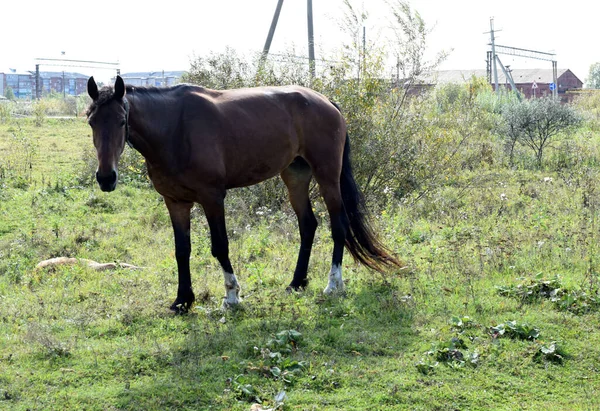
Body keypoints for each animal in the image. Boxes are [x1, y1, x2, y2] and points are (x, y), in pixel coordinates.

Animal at [85, 75, 404, 312]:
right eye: (91, 121)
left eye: (122, 121)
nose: (106, 178)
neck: (174, 129)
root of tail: (326, 101)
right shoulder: (175, 202)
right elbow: (181, 250)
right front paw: (182, 300)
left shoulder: (212, 197)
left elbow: (220, 246)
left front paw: (231, 296)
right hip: (295, 175)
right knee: (308, 225)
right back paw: (296, 282)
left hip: (327, 175)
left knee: (338, 225)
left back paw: (333, 284)